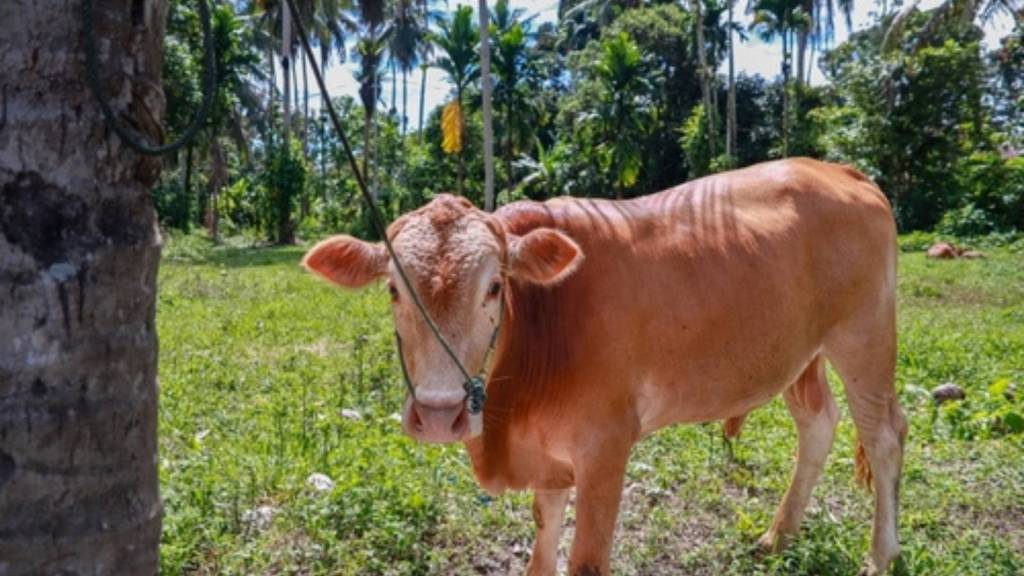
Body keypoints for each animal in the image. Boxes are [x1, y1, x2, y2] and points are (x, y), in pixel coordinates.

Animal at [302, 158, 907, 576]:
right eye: (393, 289)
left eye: (494, 287)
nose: (436, 415)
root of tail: (837, 168)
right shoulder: (548, 455)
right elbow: (543, 540)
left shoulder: (605, 449)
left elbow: (585, 560)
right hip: (802, 353)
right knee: (818, 424)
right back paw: (778, 536)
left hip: (865, 338)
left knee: (884, 437)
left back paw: (879, 556)